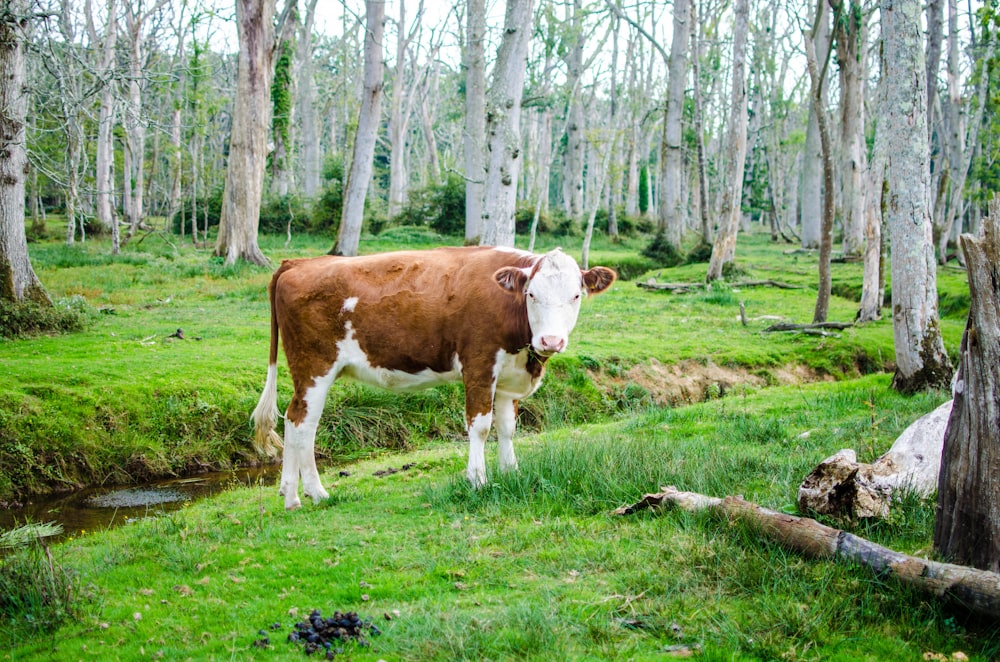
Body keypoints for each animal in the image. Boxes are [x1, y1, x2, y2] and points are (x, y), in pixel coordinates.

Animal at [250, 246, 616, 510]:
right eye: (531, 295)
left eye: (576, 295)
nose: (551, 341)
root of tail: (299, 262)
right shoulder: (479, 366)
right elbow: (480, 427)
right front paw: (478, 481)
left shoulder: (508, 378)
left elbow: (508, 429)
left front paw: (512, 472)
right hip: (315, 367)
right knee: (303, 423)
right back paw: (310, 494)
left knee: (290, 418)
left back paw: (289, 490)